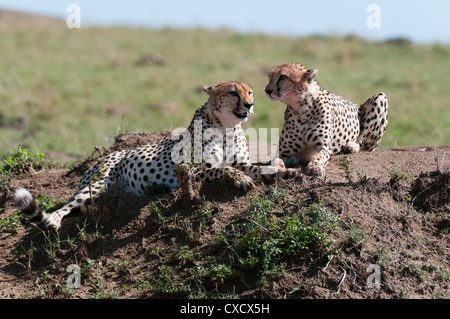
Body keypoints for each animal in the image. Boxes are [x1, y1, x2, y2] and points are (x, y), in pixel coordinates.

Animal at [14, 81, 294, 232]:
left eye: (250, 92)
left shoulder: (242, 162)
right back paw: (52, 220)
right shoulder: (195, 171)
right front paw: (241, 180)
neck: (226, 127)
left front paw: (283, 169)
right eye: (234, 93)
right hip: (96, 184)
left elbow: (258, 166)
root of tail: (98, 161)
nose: (249, 105)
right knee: (66, 206)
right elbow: (222, 168)